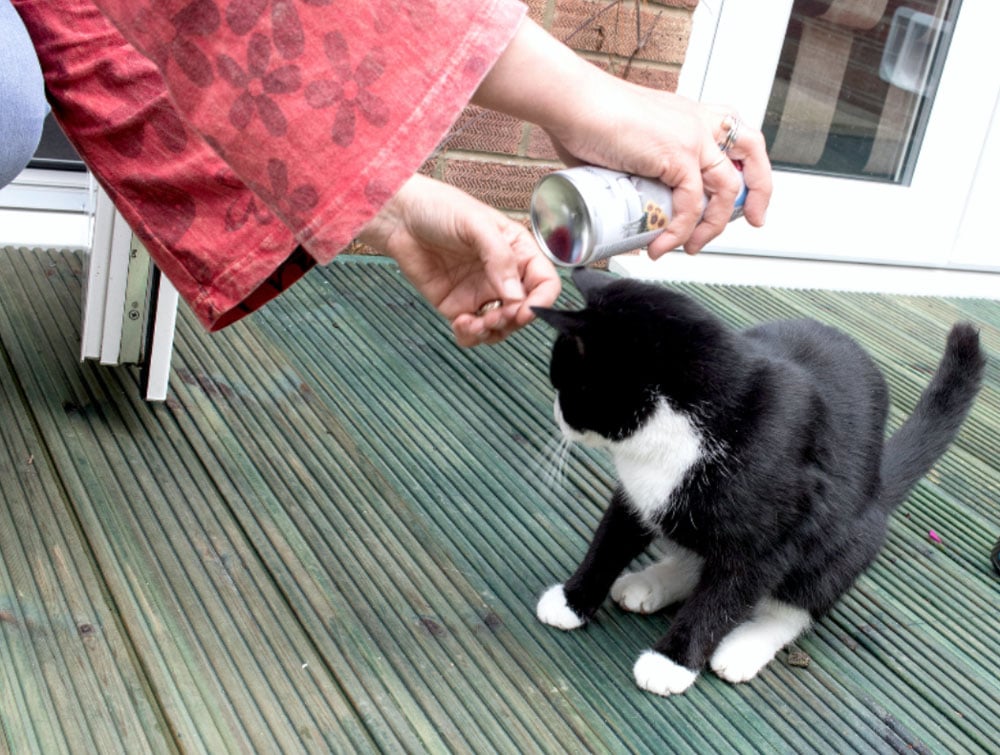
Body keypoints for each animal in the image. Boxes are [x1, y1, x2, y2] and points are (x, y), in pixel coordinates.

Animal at [532, 268, 984, 700]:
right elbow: (608, 543)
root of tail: (880, 485)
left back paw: (744, 645)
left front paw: (672, 661)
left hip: (848, 540)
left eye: (567, 387)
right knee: (697, 558)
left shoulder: (770, 539)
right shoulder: (636, 496)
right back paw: (651, 582)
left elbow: (722, 599)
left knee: (797, 600)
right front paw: (573, 600)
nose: (556, 414)